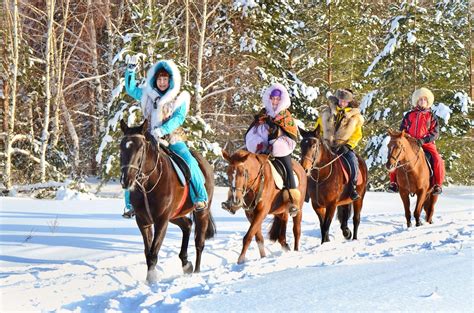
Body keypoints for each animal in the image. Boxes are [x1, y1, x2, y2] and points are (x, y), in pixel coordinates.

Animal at [119, 119, 216, 280]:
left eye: (140, 148)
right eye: (121, 147)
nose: (126, 180)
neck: (148, 184)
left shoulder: (161, 220)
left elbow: (153, 253)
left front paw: (151, 280)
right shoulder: (143, 221)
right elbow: (148, 253)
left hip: (201, 212)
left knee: (199, 243)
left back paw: (196, 271)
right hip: (175, 214)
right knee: (187, 225)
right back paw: (186, 263)